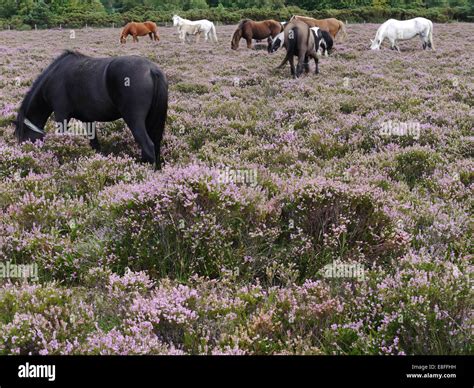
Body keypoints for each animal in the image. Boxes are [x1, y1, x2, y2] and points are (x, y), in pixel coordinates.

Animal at [14, 50, 168, 169]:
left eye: (22, 137)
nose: (26, 156)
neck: (53, 77)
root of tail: (151, 70)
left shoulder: (61, 115)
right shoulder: (87, 120)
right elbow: (95, 144)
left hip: (134, 120)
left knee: (148, 146)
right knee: (155, 144)